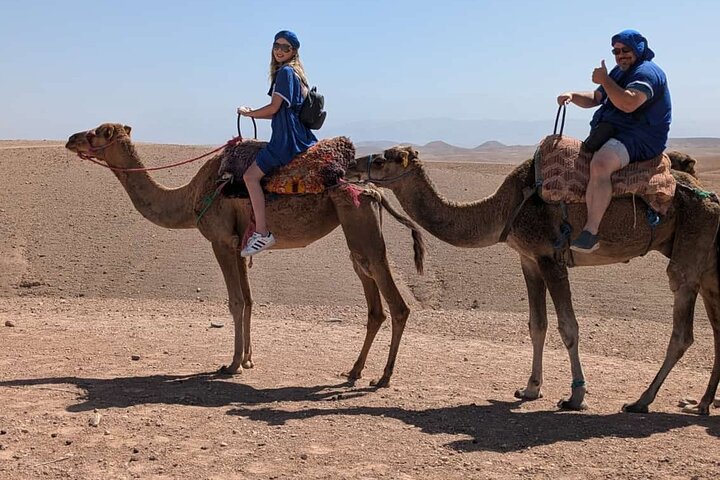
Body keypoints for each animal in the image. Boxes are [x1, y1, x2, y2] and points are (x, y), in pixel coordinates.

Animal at [65, 123, 427, 387]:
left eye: (98, 131)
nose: (71, 138)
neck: (189, 198)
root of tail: (374, 190)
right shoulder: (240, 244)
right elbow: (250, 300)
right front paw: (249, 358)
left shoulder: (221, 241)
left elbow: (235, 301)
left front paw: (232, 364)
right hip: (358, 231)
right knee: (373, 302)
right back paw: (354, 372)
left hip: (359, 224)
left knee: (394, 301)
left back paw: (383, 378)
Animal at [347, 146, 720, 414]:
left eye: (381, 159)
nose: (350, 165)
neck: (504, 208)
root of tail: (707, 193)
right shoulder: (528, 260)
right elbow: (537, 325)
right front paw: (529, 388)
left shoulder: (550, 257)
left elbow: (568, 327)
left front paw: (576, 397)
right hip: (703, 256)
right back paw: (700, 403)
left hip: (692, 241)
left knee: (682, 327)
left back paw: (643, 400)